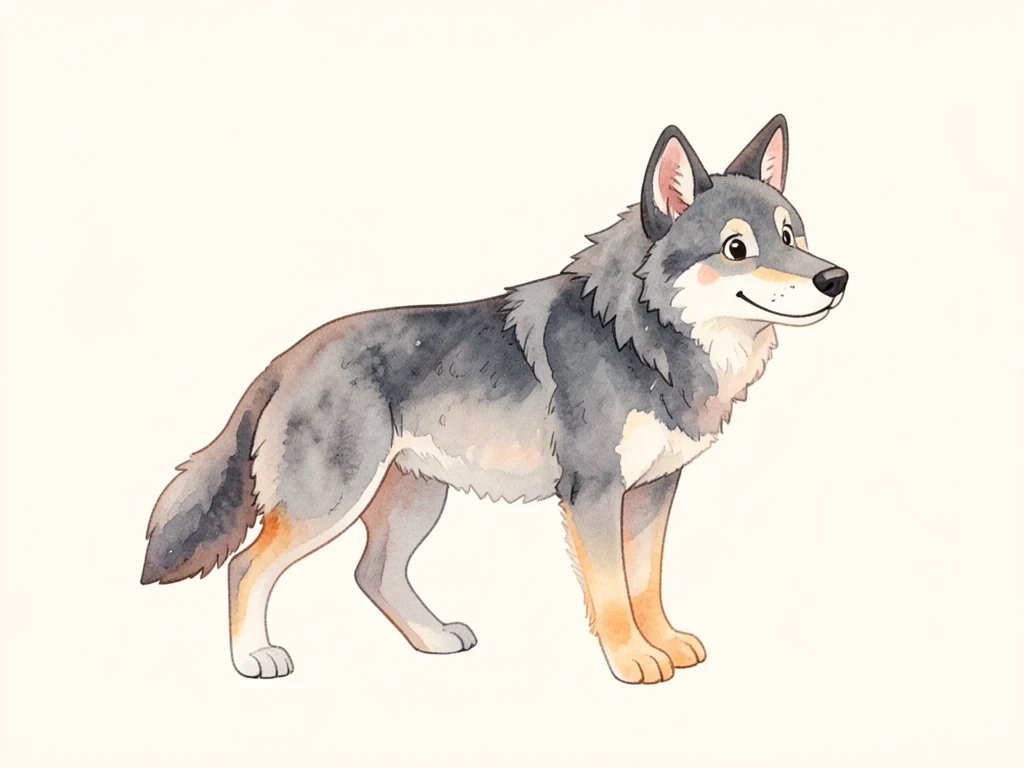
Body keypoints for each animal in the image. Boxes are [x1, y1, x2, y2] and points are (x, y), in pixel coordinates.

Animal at [141, 115, 848, 684]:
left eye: (792, 235)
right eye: (737, 248)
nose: (835, 278)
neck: (640, 339)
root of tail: (285, 358)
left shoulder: (653, 491)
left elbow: (646, 584)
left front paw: (666, 644)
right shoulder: (593, 494)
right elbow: (613, 594)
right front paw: (632, 661)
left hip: (416, 502)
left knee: (374, 574)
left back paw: (433, 640)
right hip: (330, 505)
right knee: (246, 566)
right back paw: (253, 658)